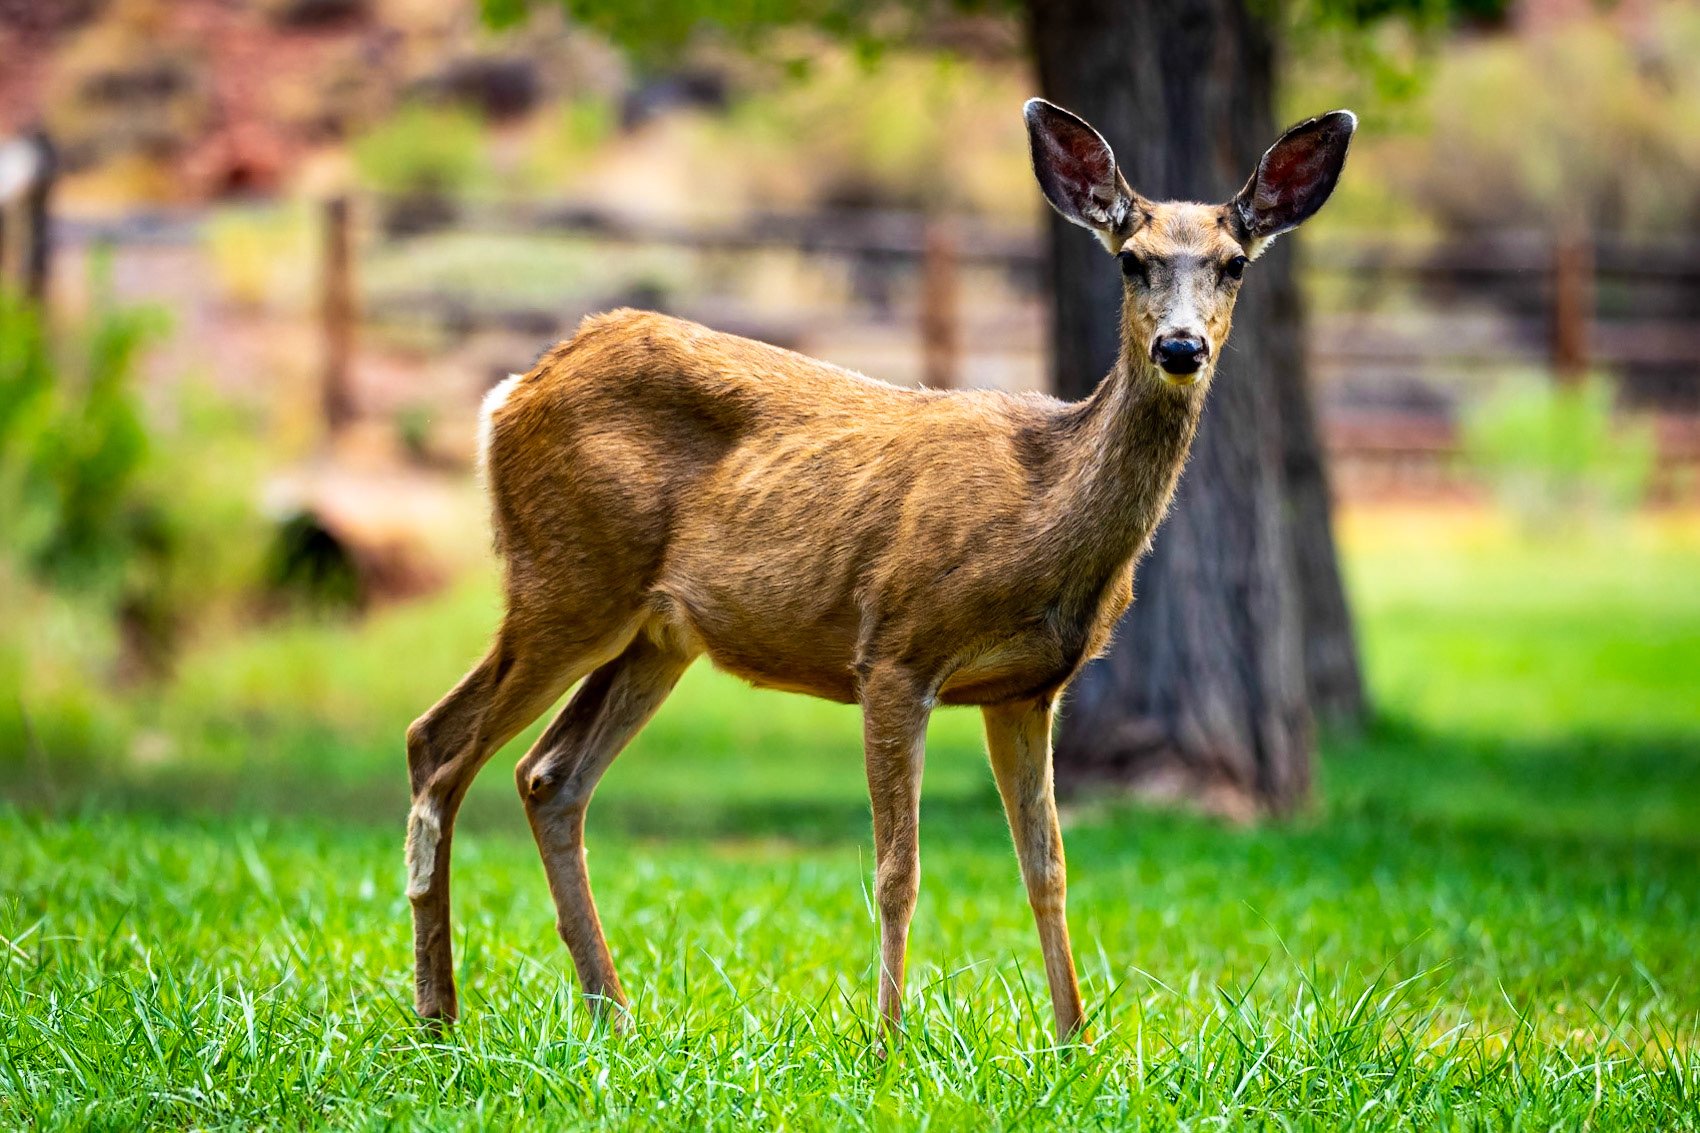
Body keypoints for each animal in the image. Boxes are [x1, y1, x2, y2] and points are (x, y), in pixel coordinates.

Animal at [403, 98, 1356, 1043]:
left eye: (1233, 264)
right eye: (1131, 259)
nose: (1181, 347)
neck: (1045, 511)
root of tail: (511, 391)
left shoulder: (1027, 689)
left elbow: (1047, 868)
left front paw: (1074, 1039)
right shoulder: (897, 646)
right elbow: (899, 864)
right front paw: (890, 1036)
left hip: (654, 633)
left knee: (549, 775)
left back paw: (612, 1011)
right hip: (567, 578)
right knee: (438, 743)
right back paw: (440, 1010)